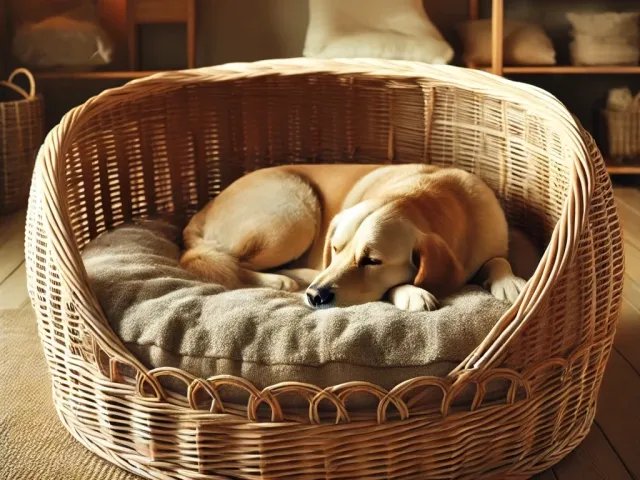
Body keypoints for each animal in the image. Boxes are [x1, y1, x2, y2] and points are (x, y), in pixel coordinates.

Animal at [179, 163, 524, 310]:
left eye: (372, 260)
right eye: (336, 248)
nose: (315, 296)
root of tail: (200, 213)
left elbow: (498, 260)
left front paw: (509, 281)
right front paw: (411, 292)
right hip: (294, 214)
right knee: (229, 263)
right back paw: (280, 281)